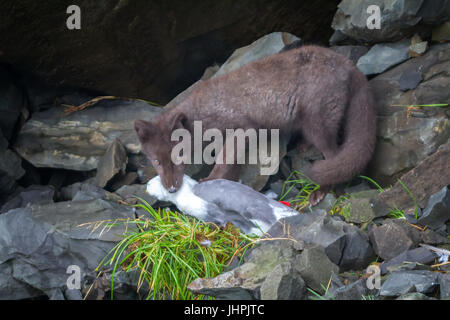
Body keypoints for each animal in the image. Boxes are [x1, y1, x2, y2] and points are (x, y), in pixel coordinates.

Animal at [134, 45, 376, 205]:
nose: (171, 189)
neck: (203, 112)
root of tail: (350, 65)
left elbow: (224, 160)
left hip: (319, 123)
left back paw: (320, 192)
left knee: (335, 158)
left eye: (180, 156)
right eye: (156, 161)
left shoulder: (244, 129)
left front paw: (210, 180)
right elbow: (231, 166)